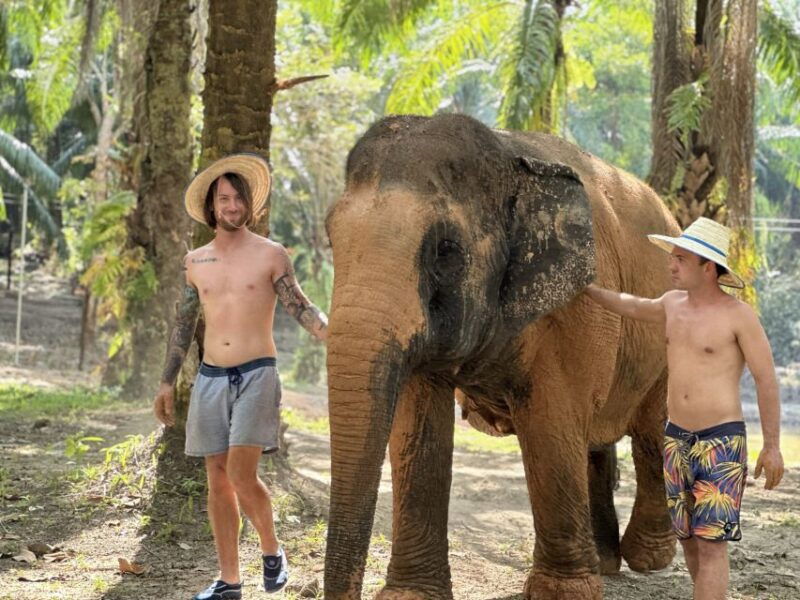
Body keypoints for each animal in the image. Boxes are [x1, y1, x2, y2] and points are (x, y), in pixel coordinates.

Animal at [323, 113, 680, 600]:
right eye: (329, 238)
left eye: (446, 250)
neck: (508, 155)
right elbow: (419, 427)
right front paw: (410, 596)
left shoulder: (579, 300)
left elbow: (551, 420)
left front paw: (562, 593)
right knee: (595, 440)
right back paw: (607, 563)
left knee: (650, 429)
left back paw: (649, 558)